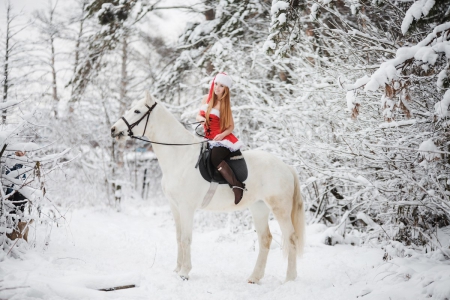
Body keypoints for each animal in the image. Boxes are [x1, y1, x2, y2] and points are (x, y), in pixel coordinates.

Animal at [110, 94, 304, 284]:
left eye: (137, 111)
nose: (113, 129)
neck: (180, 157)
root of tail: (286, 167)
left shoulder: (187, 208)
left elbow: (186, 238)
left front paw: (185, 273)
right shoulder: (175, 207)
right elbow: (179, 237)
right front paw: (177, 269)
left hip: (280, 209)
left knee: (291, 238)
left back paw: (290, 279)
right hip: (259, 208)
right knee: (265, 239)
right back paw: (254, 278)